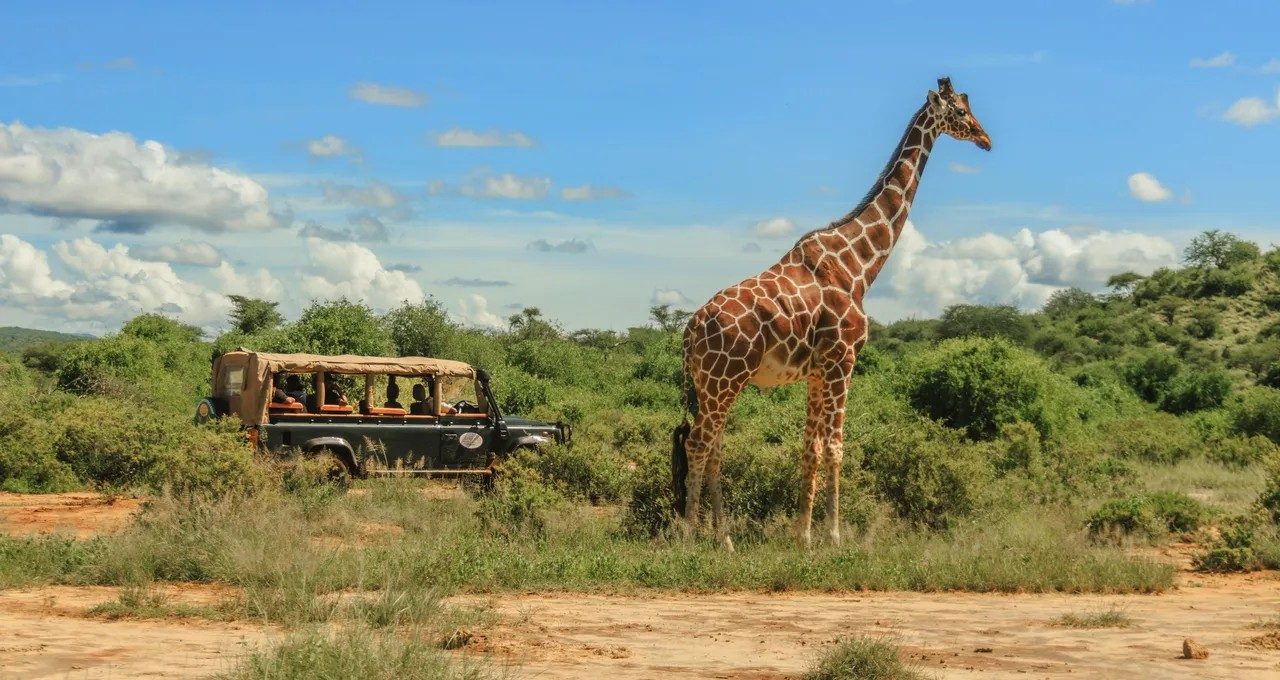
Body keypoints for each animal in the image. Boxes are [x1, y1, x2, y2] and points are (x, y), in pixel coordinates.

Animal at [671, 77, 992, 550]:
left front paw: (802, 535)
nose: (986, 139)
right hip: (723, 379)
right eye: (960, 111)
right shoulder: (844, 360)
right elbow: (837, 447)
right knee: (698, 444)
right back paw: (692, 537)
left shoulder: (817, 372)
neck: (859, 265)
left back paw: (724, 539)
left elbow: (811, 449)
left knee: (714, 446)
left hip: (715, 383)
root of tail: (690, 332)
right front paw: (834, 535)